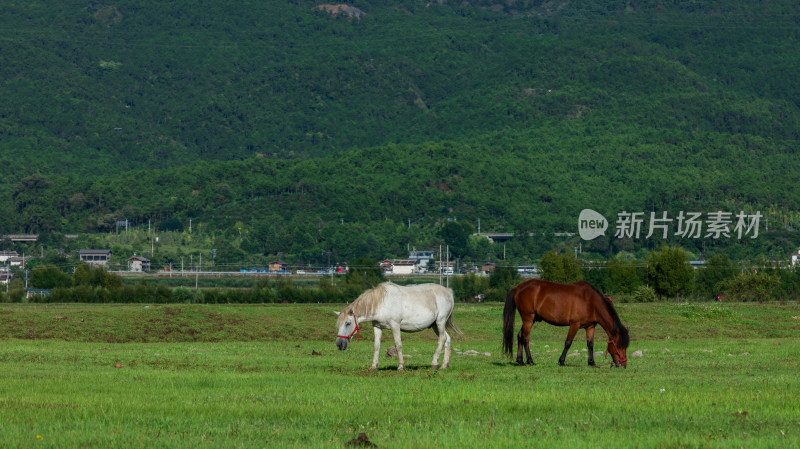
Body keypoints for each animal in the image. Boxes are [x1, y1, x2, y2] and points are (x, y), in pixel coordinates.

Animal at [334, 282, 462, 370]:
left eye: (348, 323)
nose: (339, 344)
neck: (382, 303)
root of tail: (448, 291)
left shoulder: (395, 325)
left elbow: (398, 345)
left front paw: (400, 366)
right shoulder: (377, 327)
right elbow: (376, 346)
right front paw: (374, 366)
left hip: (440, 321)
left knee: (442, 339)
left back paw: (434, 363)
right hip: (435, 325)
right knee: (447, 339)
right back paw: (444, 365)